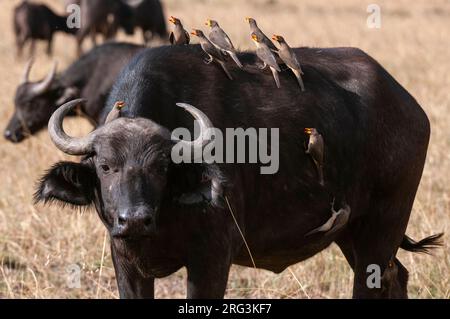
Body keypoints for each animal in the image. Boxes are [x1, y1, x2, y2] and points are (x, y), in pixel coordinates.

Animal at [36, 45, 442, 300]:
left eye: (161, 166)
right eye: (106, 166)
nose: (134, 219)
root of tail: (409, 106)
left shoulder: (211, 259)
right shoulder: (126, 261)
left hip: (383, 224)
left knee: (372, 283)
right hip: (352, 231)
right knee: (396, 276)